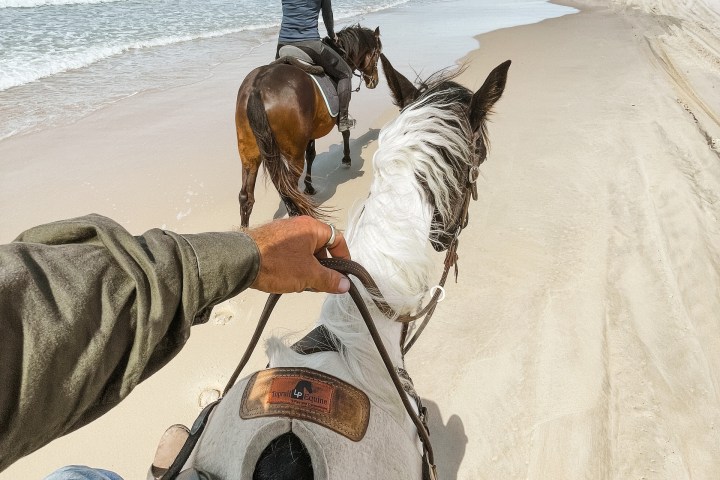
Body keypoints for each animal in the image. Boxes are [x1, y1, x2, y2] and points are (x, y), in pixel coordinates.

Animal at [236, 25, 382, 228]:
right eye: (377, 54)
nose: (374, 81)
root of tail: (258, 87)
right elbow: (344, 132)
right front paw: (346, 159)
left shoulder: (309, 132)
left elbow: (311, 155)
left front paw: (310, 187)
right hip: (292, 153)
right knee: (288, 188)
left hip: (249, 152)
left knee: (246, 195)